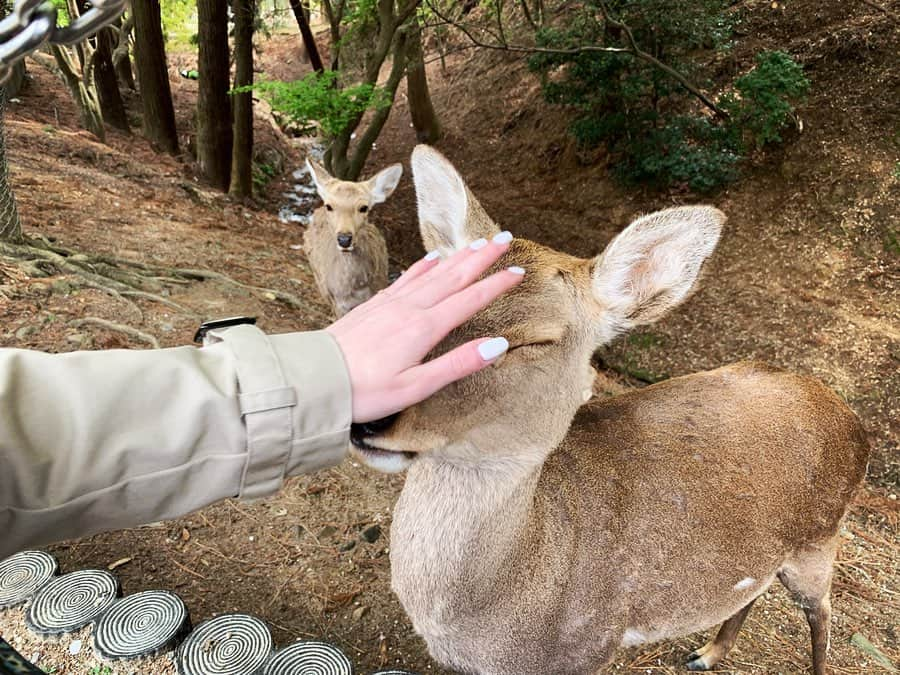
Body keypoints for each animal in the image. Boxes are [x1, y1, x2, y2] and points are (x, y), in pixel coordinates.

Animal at [348, 147, 868, 675]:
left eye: (535, 340)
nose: (370, 407)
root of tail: (848, 414)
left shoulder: (593, 646)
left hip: (821, 537)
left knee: (823, 610)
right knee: (753, 592)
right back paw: (706, 653)